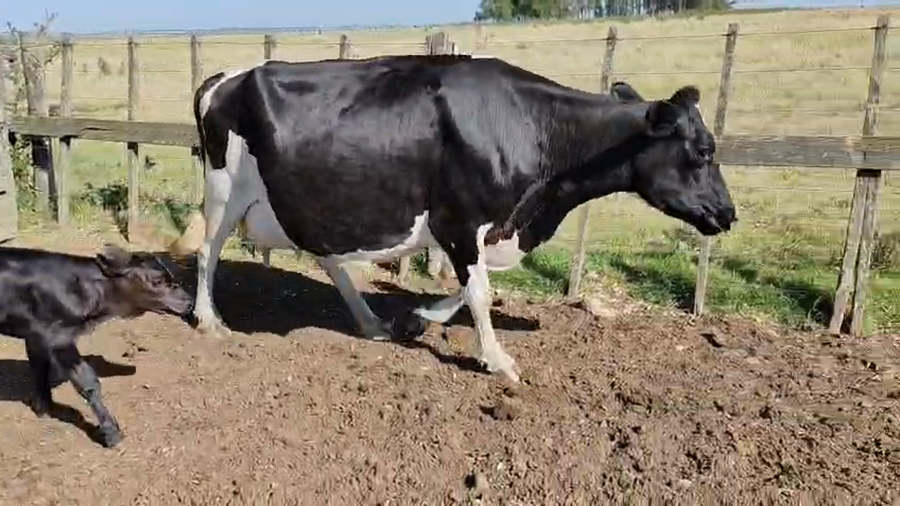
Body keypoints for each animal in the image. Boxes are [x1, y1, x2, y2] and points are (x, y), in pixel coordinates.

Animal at [0, 244, 193, 447]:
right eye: (157, 281)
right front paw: (112, 433)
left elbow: (40, 369)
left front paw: (44, 409)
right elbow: (88, 382)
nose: (189, 302)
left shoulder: (36, 337)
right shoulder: (59, 337)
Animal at [169, 54, 737, 384]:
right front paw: (499, 361)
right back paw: (209, 320)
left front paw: (420, 317)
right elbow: (480, 291)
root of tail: (224, 77)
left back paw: (371, 323)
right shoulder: (460, 219)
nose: (729, 213)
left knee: (326, 256)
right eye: (703, 151)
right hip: (224, 189)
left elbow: (469, 289)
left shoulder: (482, 227)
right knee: (208, 251)